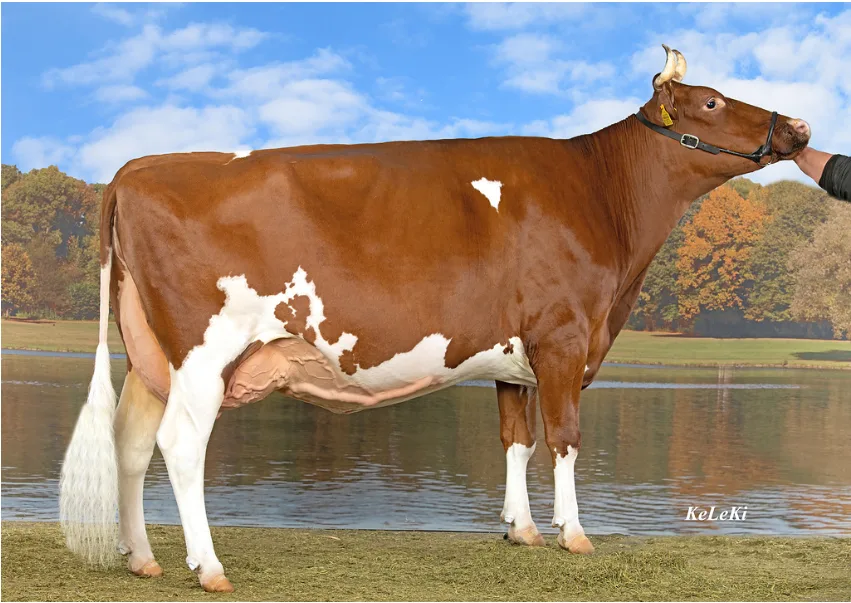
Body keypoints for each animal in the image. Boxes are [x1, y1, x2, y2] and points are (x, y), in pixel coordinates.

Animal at [59, 46, 811, 592]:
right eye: (711, 101)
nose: (799, 126)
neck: (601, 196)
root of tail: (139, 166)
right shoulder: (564, 338)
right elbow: (565, 439)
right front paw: (573, 535)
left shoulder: (517, 355)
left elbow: (517, 440)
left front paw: (520, 530)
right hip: (204, 351)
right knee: (181, 446)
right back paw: (208, 567)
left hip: (148, 355)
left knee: (130, 443)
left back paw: (141, 558)